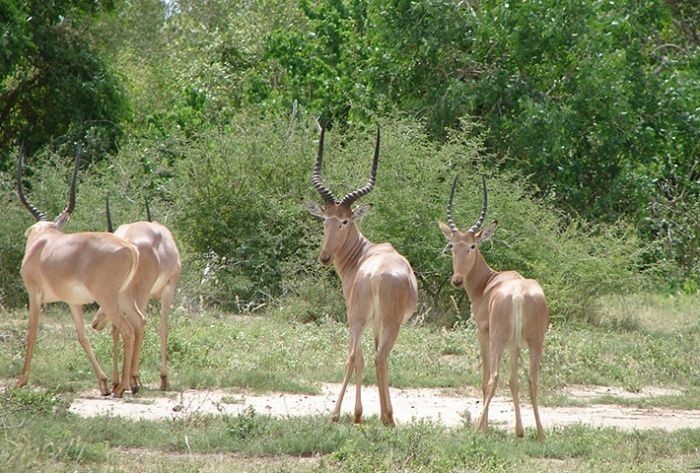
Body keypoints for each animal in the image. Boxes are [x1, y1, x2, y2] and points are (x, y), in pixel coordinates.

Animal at [15, 146, 144, 396]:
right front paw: (102, 383)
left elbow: (32, 332)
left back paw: (122, 387)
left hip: (109, 300)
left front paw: (21, 381)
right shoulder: (73, 302)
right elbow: (82, 337)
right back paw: (129, 385)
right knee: (139, 323)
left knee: (127, 330)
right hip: (123, 298)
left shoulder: (34, 294)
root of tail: (129, 248)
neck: (42, 242)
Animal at [304, 123, 418, 426]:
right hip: (383, 323)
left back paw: (342, 413)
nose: (325, 257)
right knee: (376, 358)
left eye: (344, 220)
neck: (365, 254)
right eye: (326, 218)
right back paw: (384, 417)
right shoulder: (377, 324)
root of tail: (376, 275)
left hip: (358, 318)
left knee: (357, 355)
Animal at [438, 175, 548, 440]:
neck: (488, 283)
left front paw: (486, 427)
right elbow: (514, 381)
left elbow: (486, 377)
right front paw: (519, 431)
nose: (457, 280)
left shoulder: (483, 333)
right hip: (535, 341)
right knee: (531, 380)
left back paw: (478, 429)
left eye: (472, 246)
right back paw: (540, 435)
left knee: (494, 377)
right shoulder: (515, 344)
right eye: (452, 245)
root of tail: (519, 295)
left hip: (498, 339)